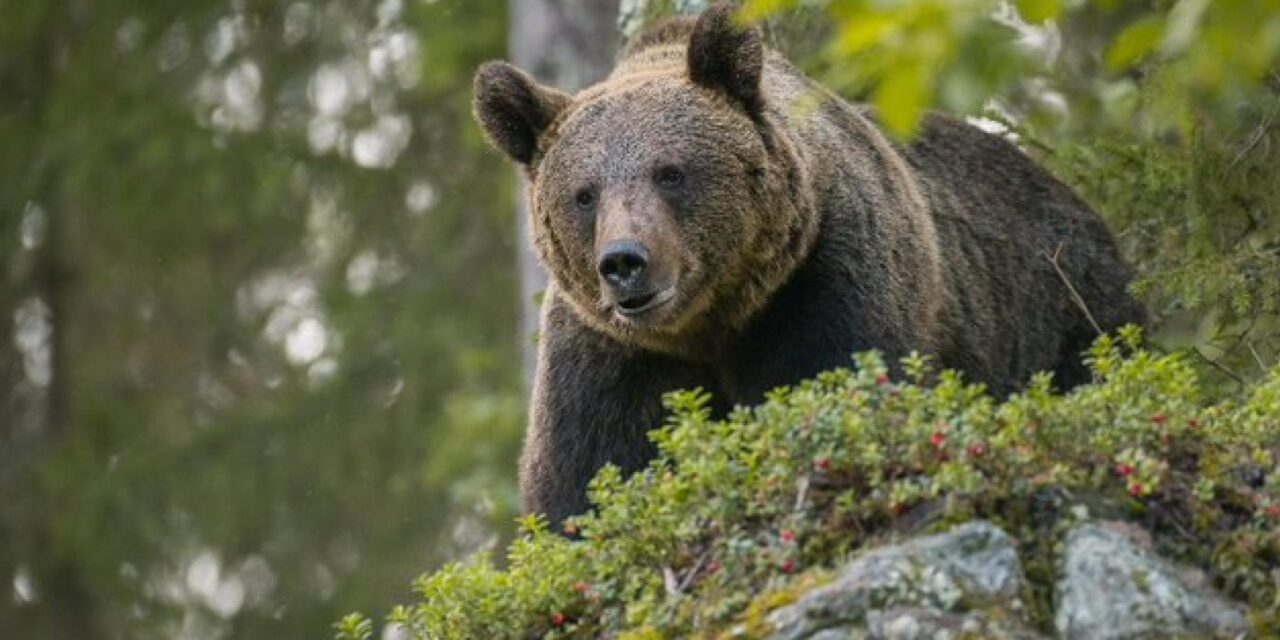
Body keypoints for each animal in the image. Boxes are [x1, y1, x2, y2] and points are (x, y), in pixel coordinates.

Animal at [473, 3, 1152, 524]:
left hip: (1068, 310)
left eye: (670, 172)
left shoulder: (828, 281)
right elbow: (587, 480)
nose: (624, 263)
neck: (713, 322)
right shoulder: (610, 354)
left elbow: (834, 389)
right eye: (583, 193)